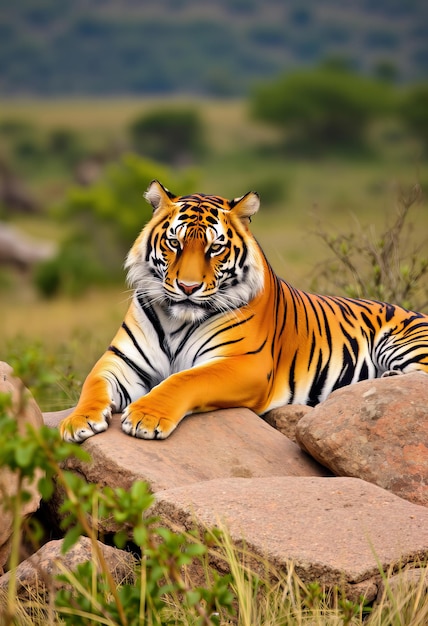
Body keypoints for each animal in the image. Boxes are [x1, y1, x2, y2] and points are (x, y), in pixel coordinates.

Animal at [59, 178, 428, 442]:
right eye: (174, 243)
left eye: (215, 248)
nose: (188, 287)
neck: (177, 322)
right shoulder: (122, 359)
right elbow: (93, 382)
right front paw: (77, 421)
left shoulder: (244, 363)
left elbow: (183, 379)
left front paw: (145, 416)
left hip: (405, 342)